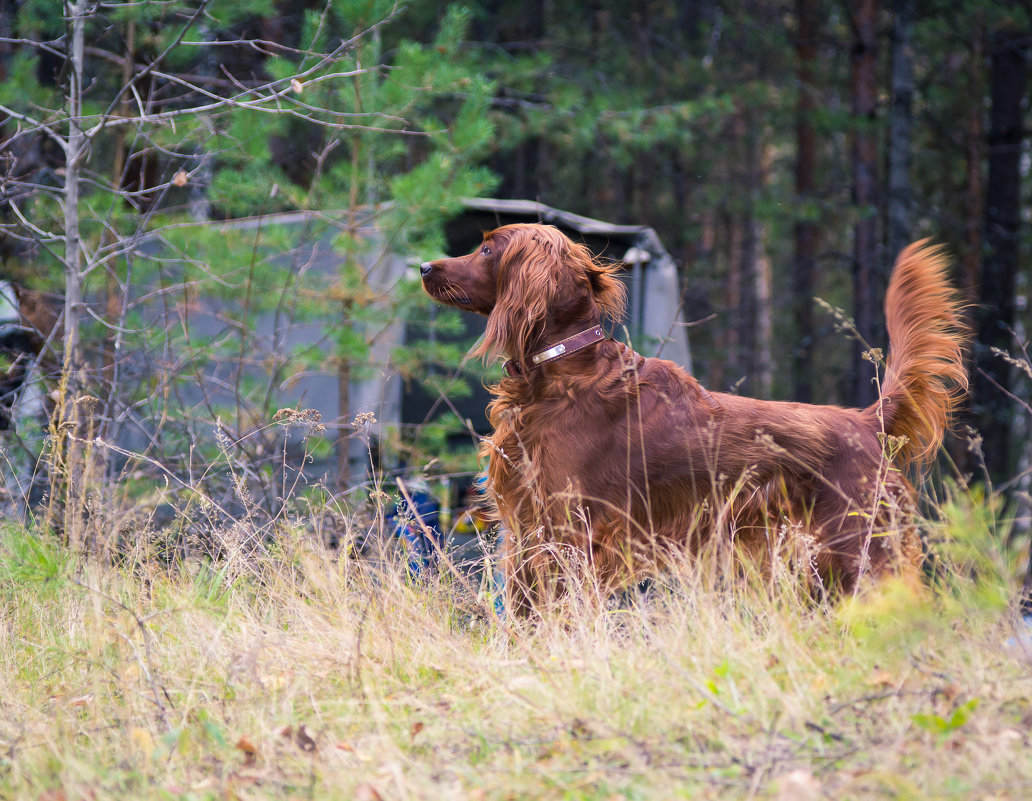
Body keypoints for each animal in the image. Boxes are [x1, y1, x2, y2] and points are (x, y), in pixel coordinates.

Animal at [418, 225, 965, 615]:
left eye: (488, 250)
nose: (423, 265)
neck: (562, 368)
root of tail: (866, 422)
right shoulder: (529, 528)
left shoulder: (567, 530)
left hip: (863, 553)